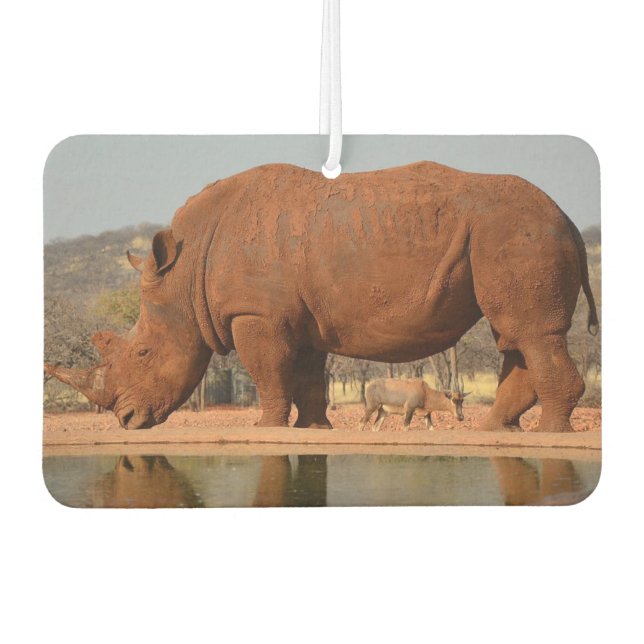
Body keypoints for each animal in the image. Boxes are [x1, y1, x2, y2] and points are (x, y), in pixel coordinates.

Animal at [45, 161, 598, 432]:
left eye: (142, 352)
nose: (127, 422)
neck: (186, 269)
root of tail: (568, 217)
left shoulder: (257, 313)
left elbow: (268, 373)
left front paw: (265, 428)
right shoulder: (296, 317)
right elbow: (307, 376)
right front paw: (316, 428)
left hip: (517, 233)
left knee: (532, 333)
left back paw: (549, 435)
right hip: (509, 235)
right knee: (516, 337)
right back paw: (496, 432)